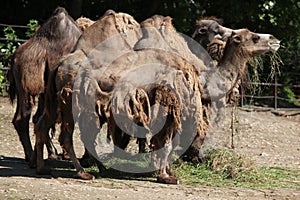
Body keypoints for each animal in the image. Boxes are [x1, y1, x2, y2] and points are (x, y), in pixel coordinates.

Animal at [7, 6, 82, 162]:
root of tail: (15, 57)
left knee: (35, 118)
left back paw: (44, 154)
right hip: (26, 84)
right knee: (23, 117)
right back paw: (33, 157)